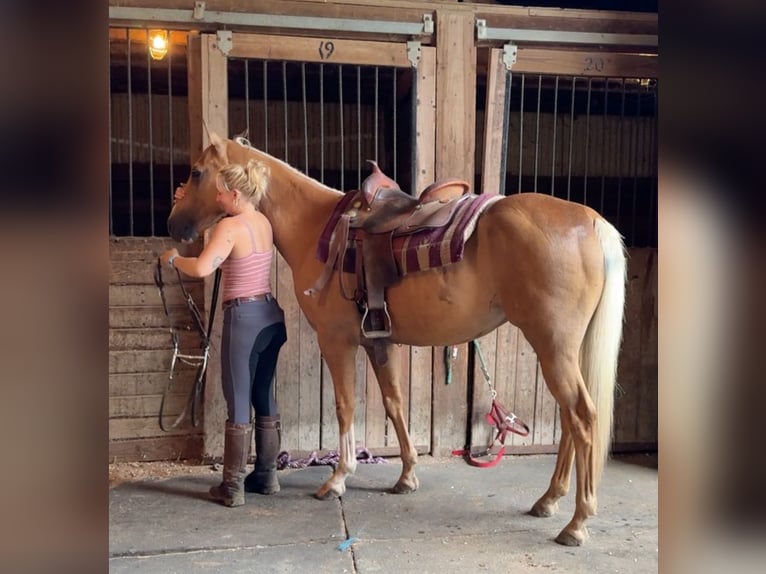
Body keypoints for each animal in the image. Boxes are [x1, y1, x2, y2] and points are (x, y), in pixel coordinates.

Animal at [165, 132, 628, 548]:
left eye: (197, 171)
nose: (173, 225)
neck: (317, 228)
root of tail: (591, 221)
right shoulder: (378, 342)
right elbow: (394, 403)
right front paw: (407, 476)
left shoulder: (337, 342)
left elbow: (345, 406)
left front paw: (338, 479)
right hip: (563, 351)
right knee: (570, 420)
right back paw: (549, 501)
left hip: (553, 347)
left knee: (583, 418)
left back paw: (576, 523)